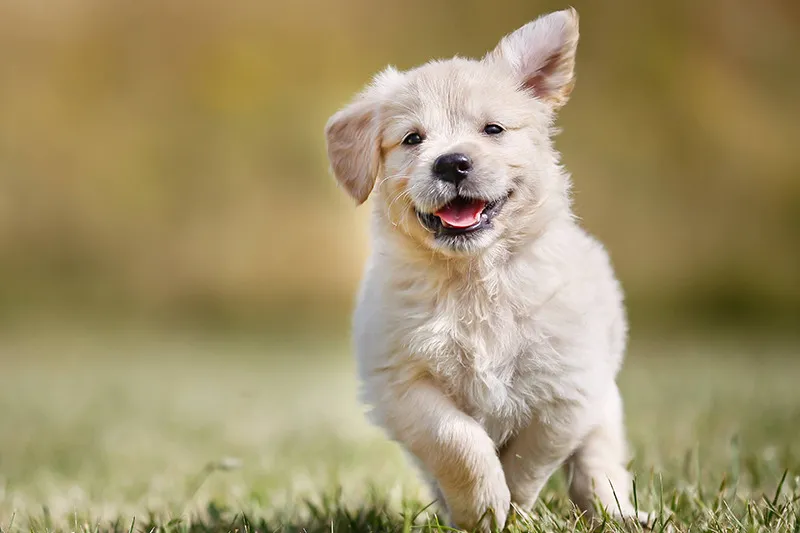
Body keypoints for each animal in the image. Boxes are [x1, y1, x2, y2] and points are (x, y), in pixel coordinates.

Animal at [324, 9, 648, 532]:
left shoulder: (567, 391)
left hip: (604, 405)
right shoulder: (402, 383)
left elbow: (529, 459)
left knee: (598, 464)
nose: (452, 163)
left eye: (493, 129)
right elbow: (457, 441)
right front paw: (482, 509)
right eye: (413, 138)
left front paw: (511, 509)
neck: (473, 277)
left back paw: (618, 512)